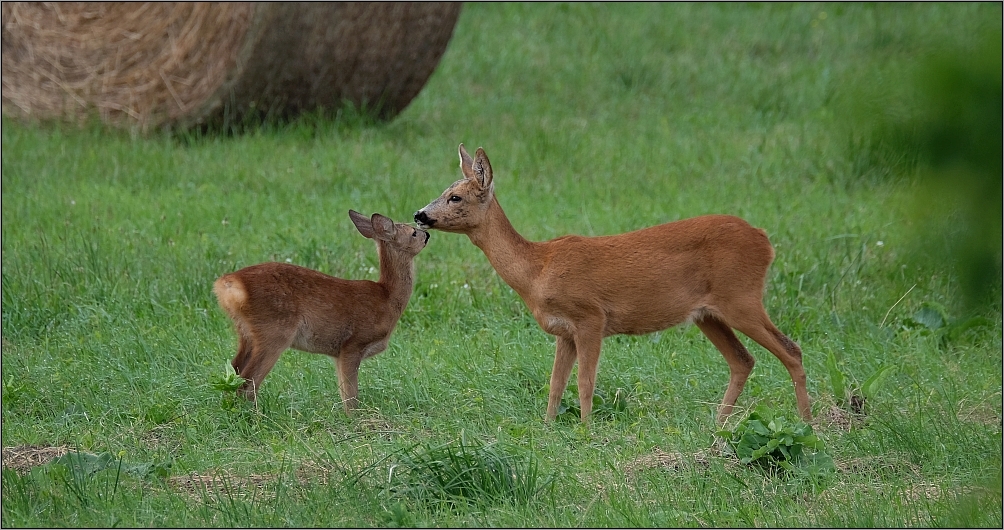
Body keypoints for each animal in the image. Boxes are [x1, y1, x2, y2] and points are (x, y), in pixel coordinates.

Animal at [211, 209, 427, 409]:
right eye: (413, 233)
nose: (427, 235)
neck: (387, 297)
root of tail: (227, 283)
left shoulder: (338, 353)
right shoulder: (353, 343)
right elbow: (351, 395)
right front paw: (353, 418)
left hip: (245, 332)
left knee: (233, 372)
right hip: (274, 330)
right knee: (247, 383)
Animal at [415, 143, 815, 421]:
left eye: (455, 196)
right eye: (443, 191)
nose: (419, 214)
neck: (537, 270)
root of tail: (765, 240)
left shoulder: (591, 317)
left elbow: (585, 383)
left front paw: (586, 431)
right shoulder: (564, 331)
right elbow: (555, 385)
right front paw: (547, 429)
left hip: (741, 296)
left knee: (791, 350)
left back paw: (806, 424)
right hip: (708, 314)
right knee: (743, 360)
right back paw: (719, 427)